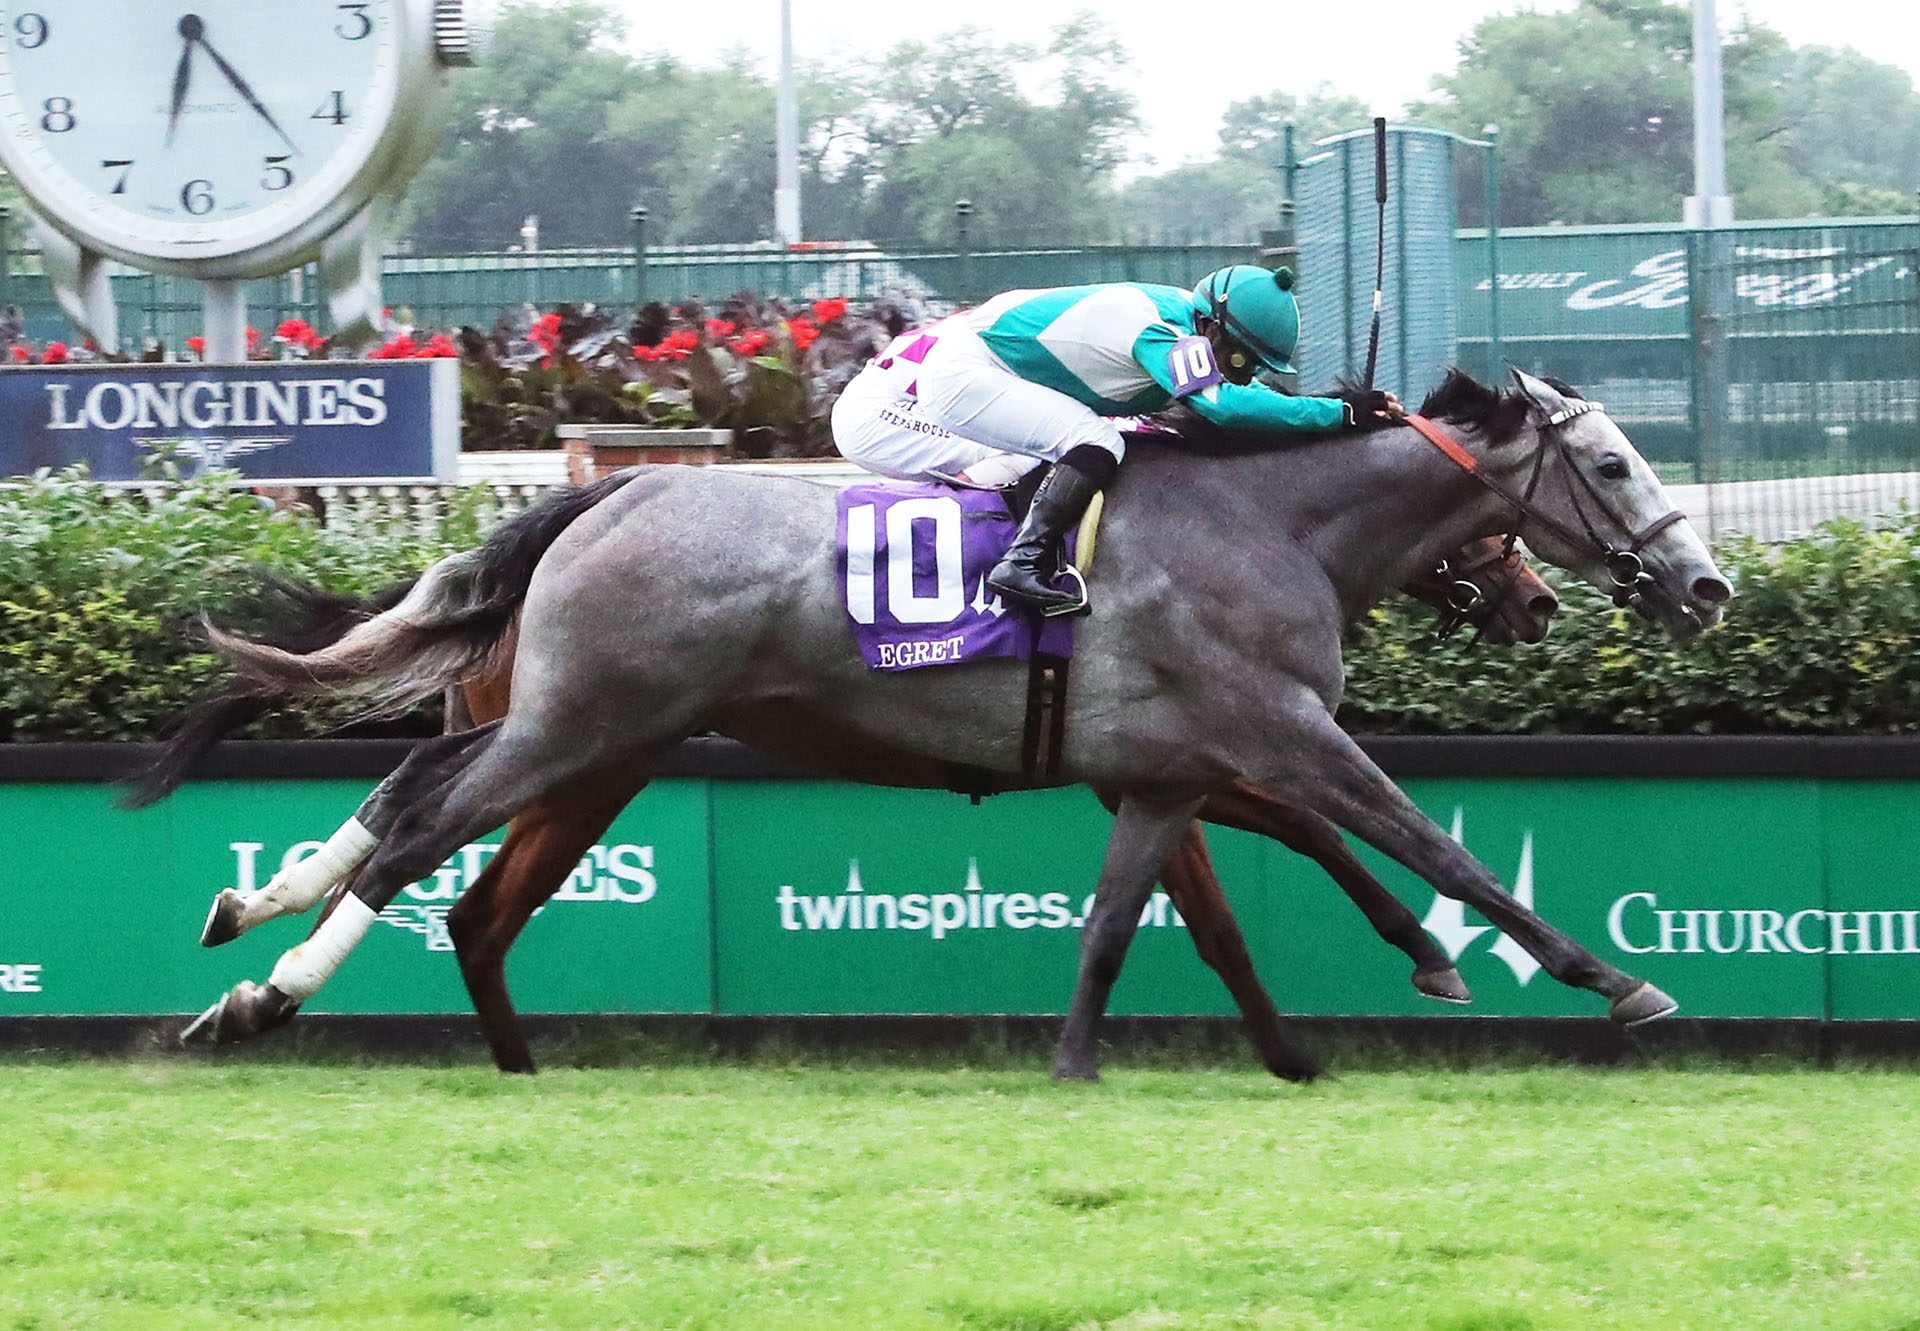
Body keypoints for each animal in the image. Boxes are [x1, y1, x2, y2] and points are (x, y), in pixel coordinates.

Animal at [183, 366, 1743, 1067]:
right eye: (1612, 463)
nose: (1707, 583)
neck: (1266, 521)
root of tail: (608, 490)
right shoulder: (1275, 725)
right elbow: (1428, 839)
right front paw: (1611, 979)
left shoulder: (1167, 764)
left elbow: (1180, 907)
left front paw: (1322, 1020)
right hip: (583, 727)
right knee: (421, 833)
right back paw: (267, 983)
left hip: (597, 738)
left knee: (432, 827)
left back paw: (293, 932)